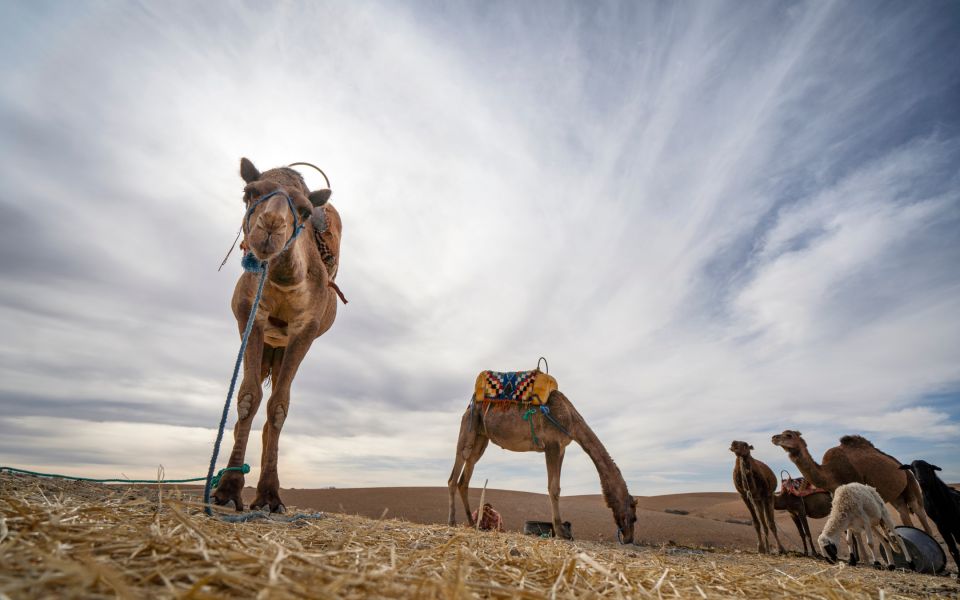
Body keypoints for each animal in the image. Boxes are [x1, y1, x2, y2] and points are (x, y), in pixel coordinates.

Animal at [212, 156, 344, 510]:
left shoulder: (305, 331)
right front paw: (227, 491)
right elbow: (247, 397)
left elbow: (279, 407)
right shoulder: (250, 317)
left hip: (282, 347)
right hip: (267, 344)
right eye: (249, 192)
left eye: (304, 210)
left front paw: (270, 496)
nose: (270, 227)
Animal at [448, 370, 636, 544]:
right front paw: (561, 532)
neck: (571, 418)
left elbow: (557, 486)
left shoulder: (561, 448)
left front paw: (562, 531)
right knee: (455, 471)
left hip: (481, 437)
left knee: (466, 473)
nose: (629, 538)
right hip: (468, 426)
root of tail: (470, 405)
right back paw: (452, 522)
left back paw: (472, 523)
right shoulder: (551, 445)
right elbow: (553, 488)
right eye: (634, 516)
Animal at [768, 432, 932, 536]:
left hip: (911, 483)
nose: (774, 437)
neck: (831, 472)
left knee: (919, 511)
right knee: (903, 513)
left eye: (789, 434)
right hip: (897, 497)